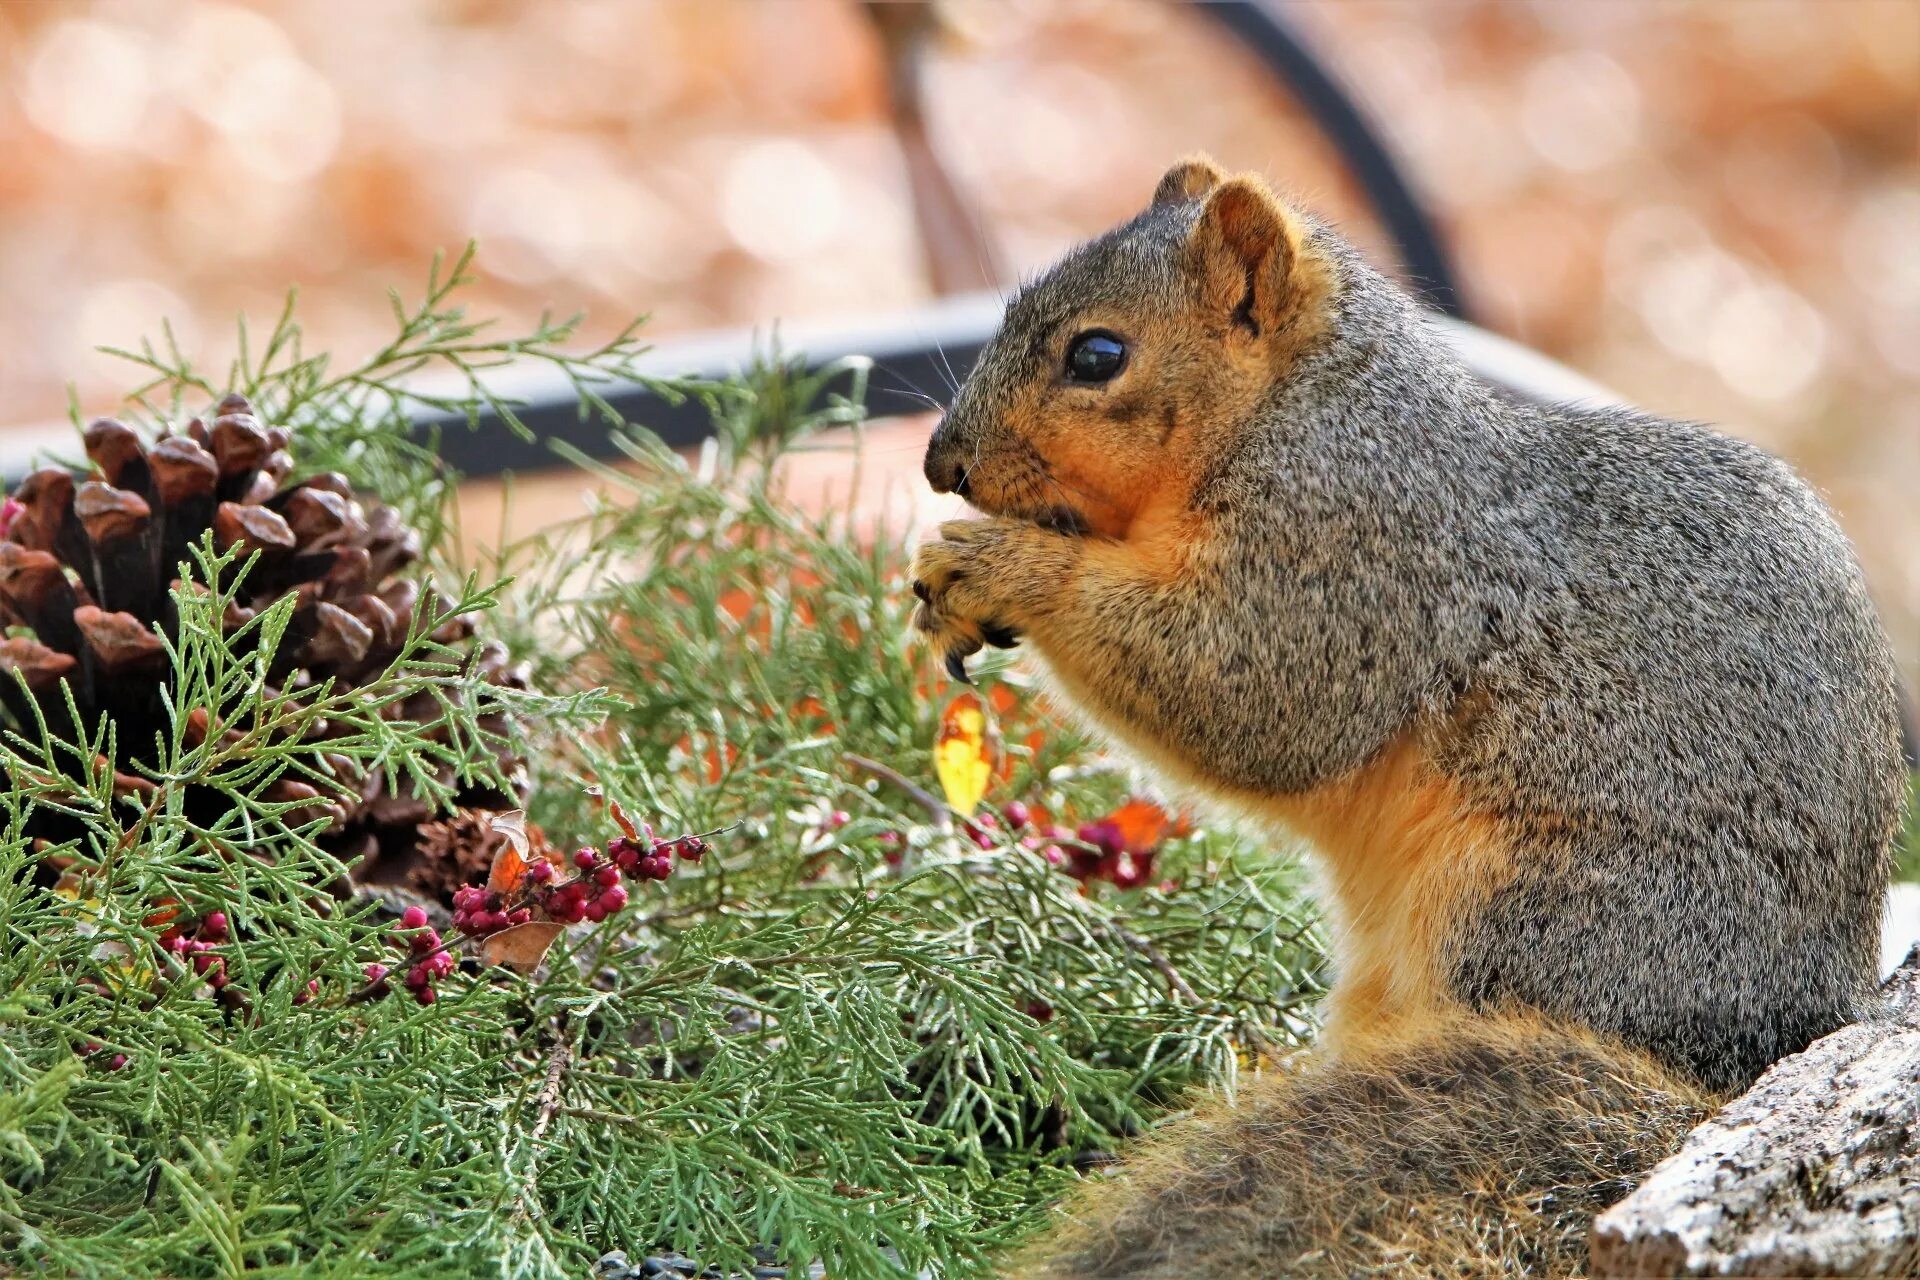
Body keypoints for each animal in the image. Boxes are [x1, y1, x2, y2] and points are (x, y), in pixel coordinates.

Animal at [910, 155, 1904, 1274]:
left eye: (1098, 354)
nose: (941, 462)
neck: (1311, 408)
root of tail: (1729, 1071)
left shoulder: (1354, 555)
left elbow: (1250, 690)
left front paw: (999, 564)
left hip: (1534, 912)